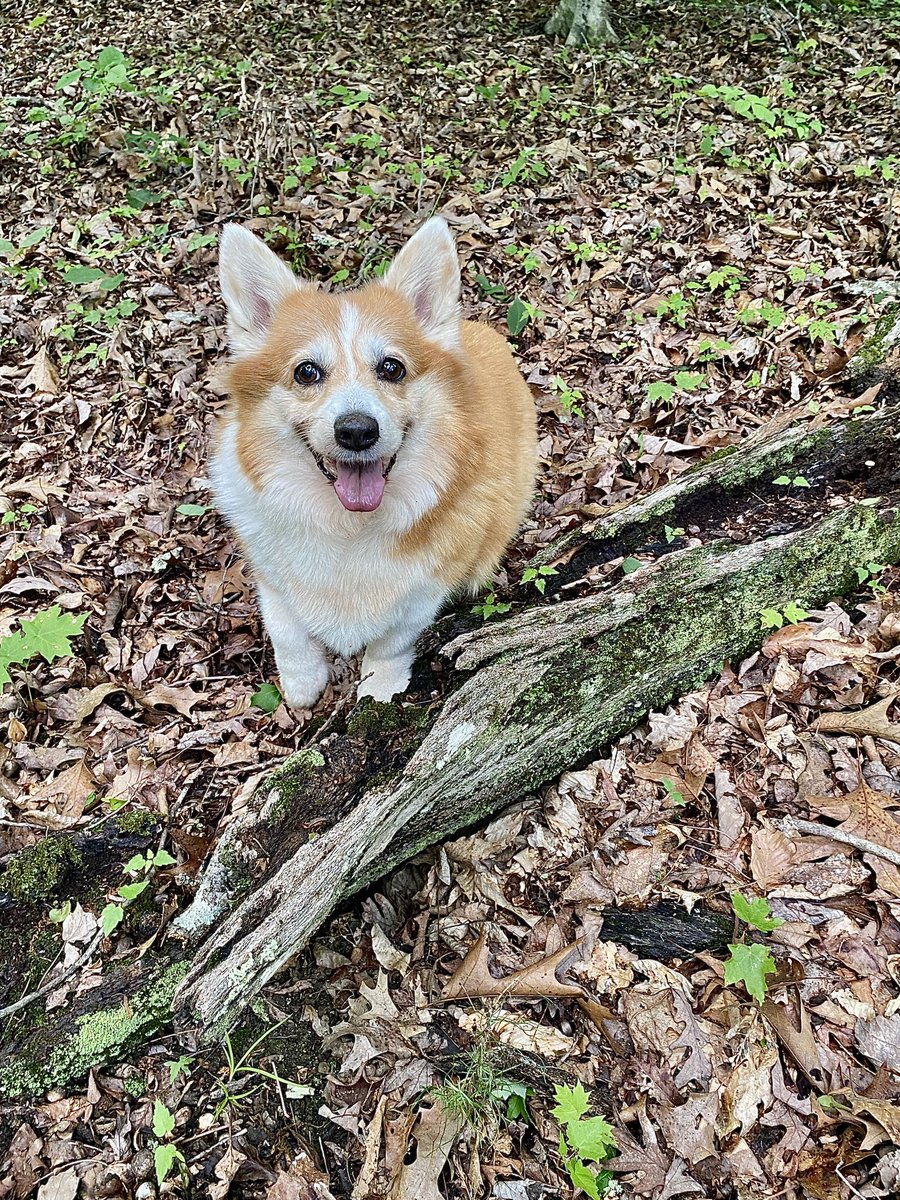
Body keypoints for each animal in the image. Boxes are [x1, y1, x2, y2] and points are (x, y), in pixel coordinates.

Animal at [207, 217, 540, 705]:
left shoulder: (424, 592)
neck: (347, 527)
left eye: (392, 368)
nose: (357, 431)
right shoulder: (269, 572)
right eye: (306, 372)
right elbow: (285, 627)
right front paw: (302, 684)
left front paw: (379, 687)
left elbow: (391, 641)